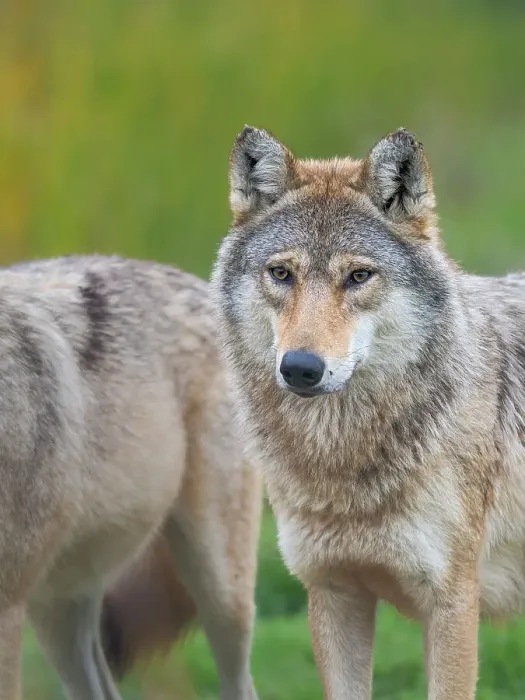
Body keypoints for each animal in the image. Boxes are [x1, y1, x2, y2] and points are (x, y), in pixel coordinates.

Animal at [212, 125, 525, 699]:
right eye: (281, 274)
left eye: (358, 276)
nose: (301, 368)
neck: (343, 463)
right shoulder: (333, 591)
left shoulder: (451, 603)